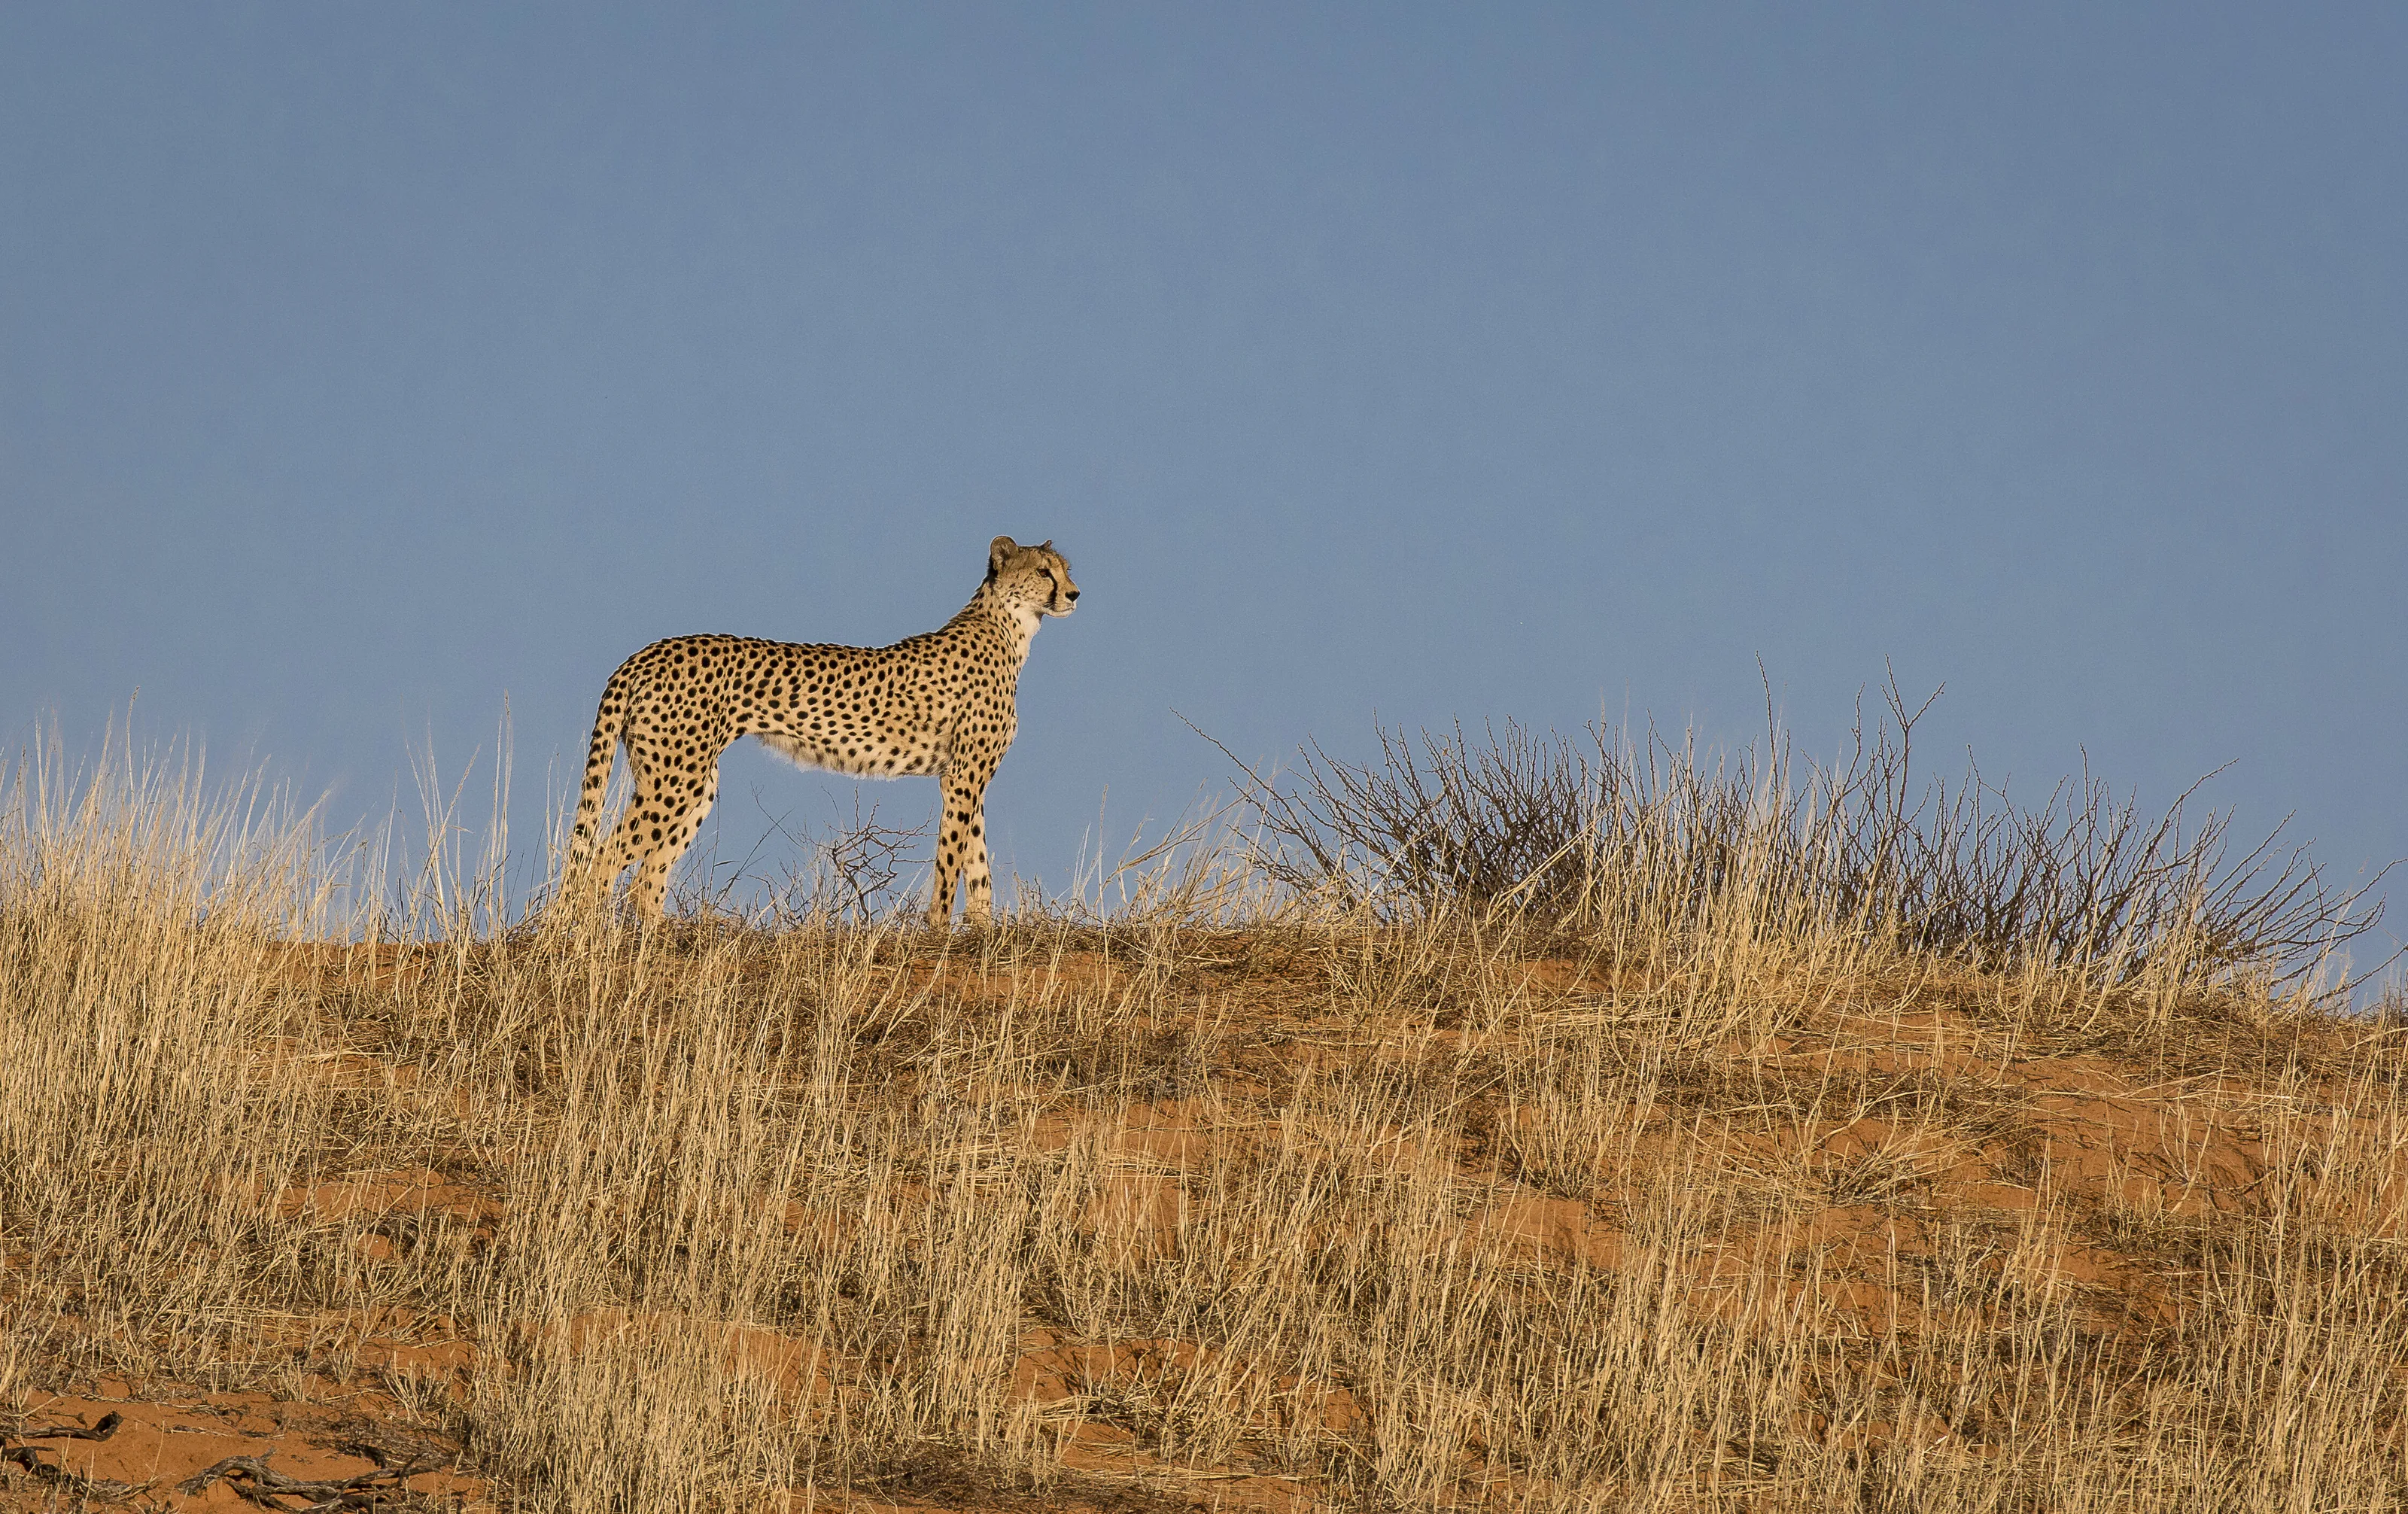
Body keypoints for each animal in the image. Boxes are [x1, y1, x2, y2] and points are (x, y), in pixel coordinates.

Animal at [557, 535, 1079, 924]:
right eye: (1042, 572)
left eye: (1065, 568)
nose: (1075, 594)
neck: (1011, 628)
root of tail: (648, 650)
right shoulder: (963, 775)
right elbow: (953, 857)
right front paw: (938, 932)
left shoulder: (968, 776)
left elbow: (977, 860)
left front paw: (984, 934)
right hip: (675, 780)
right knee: (600, 861)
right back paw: (587, 940)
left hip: (691, 784)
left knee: (646, 876)